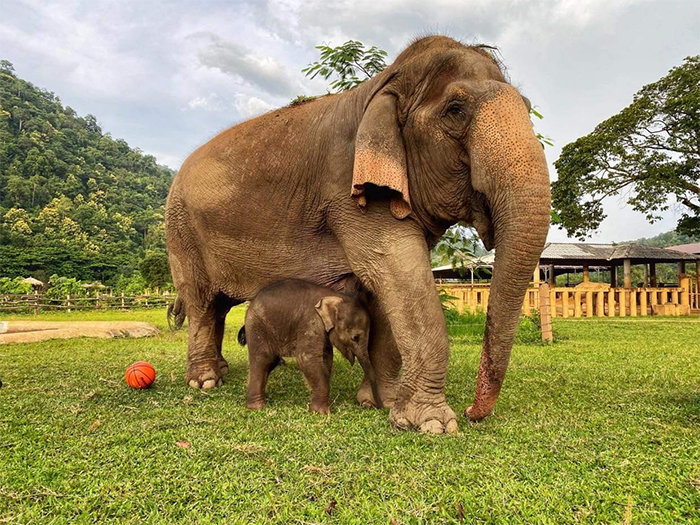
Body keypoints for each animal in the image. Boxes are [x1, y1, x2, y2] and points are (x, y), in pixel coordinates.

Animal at [237, 278, 380, 414]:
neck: (335, 296)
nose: (375, 405)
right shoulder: (311, 321)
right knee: (262, 359)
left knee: (271, 361)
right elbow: (306, 358)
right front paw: (321, 412)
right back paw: (256, 407)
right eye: (355, 337)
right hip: (257, 326)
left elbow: (326, 359)